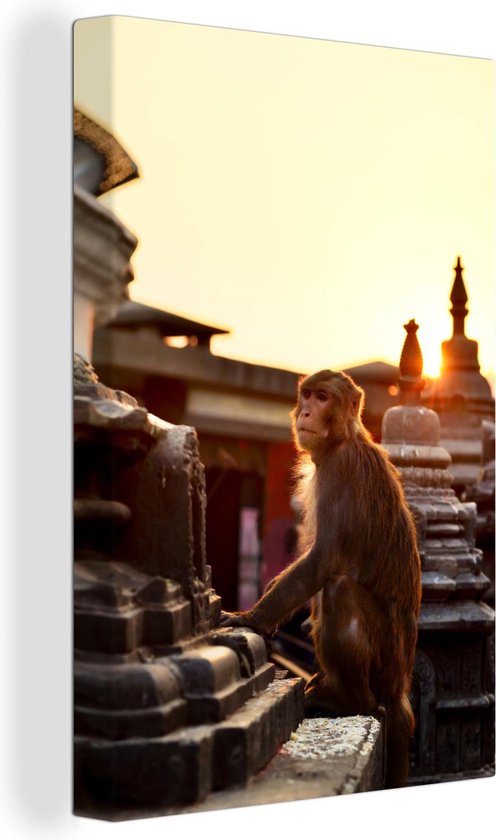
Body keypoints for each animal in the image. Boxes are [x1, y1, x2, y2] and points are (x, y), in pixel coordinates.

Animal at [220, 369, 422, 788]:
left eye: (324, 397)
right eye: (308, 394)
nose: (307, 411)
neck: (344, 440)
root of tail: (400, 686)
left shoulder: (340, 470)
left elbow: (324, 560)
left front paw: (251, 618)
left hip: (383, 663)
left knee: (339, 590)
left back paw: (348, 700)